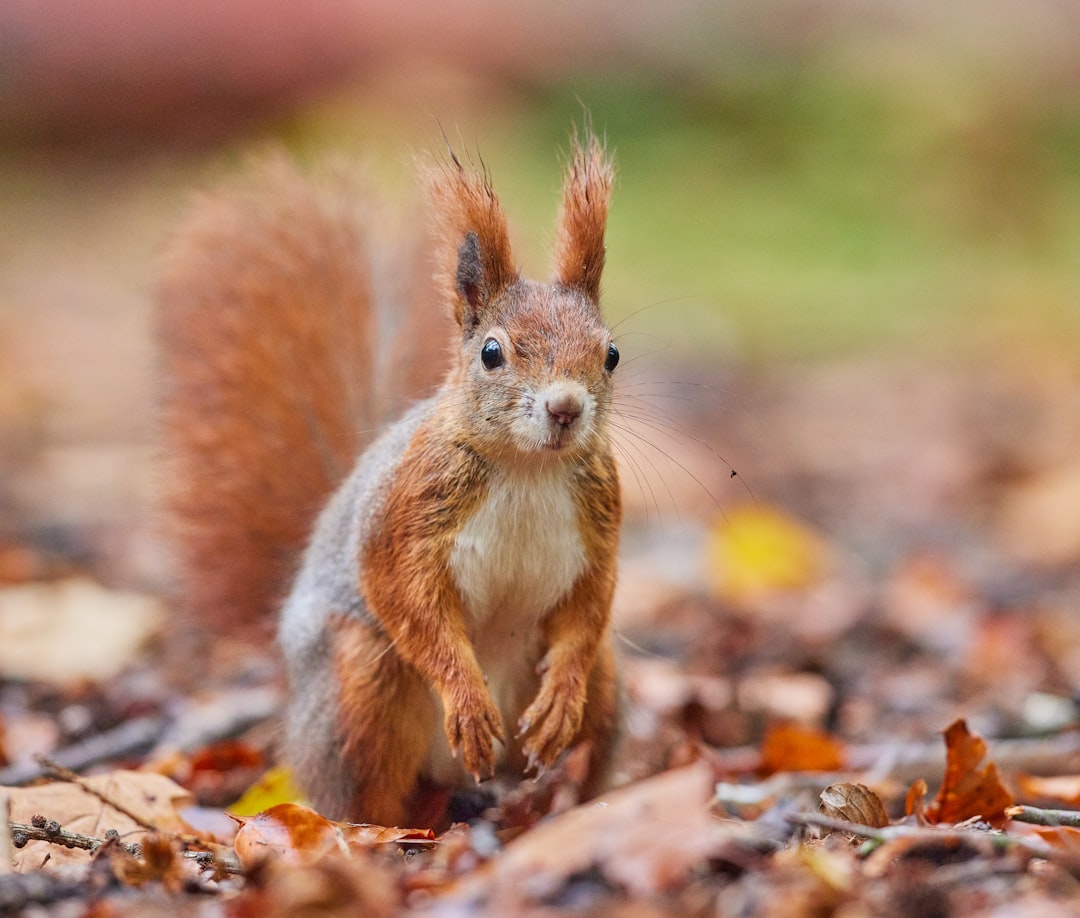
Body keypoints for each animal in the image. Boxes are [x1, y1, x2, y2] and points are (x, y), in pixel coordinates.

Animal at [156, 132, 622, 825]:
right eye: (491, 352)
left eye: (611, 354)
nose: (565, 407)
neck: (527, 467)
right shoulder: (404, 512)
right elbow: (405, 597)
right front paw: (467, 700)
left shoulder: (600, 517)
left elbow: (590, 606)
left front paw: (560, 697)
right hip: (365, 683)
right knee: (363, 790)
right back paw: (379, 832)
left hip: (606, 686)